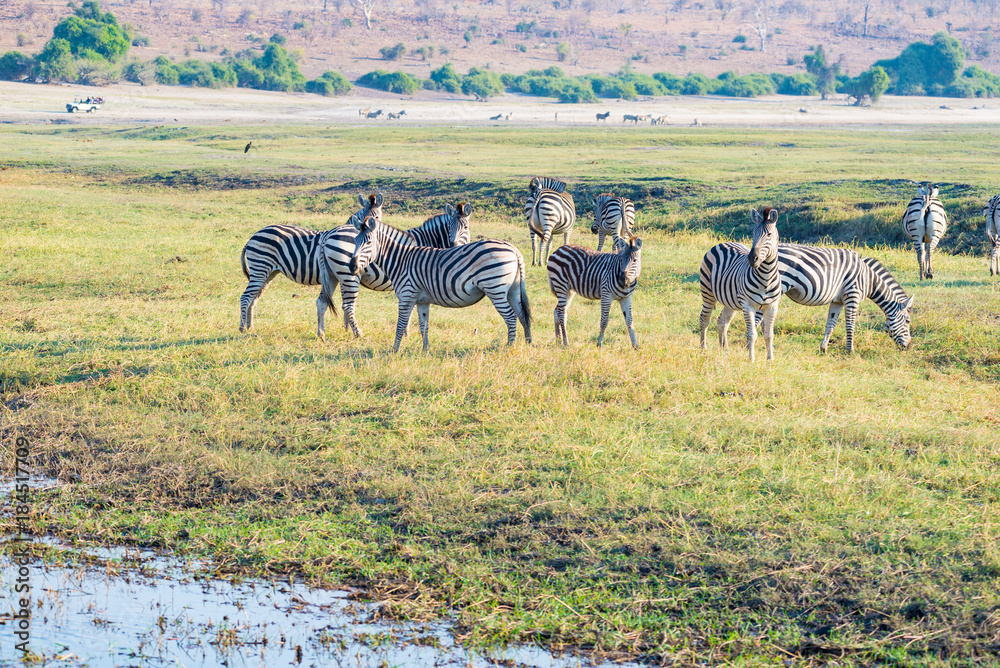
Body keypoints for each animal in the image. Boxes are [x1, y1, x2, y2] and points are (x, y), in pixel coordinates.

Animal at [239, 193, 383, 337]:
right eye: (365, 215)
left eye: (377, 217)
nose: (369, 227)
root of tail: (253, 236)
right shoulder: (345, 273)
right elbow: (347, 304)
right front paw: (349, 328)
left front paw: (347, 328)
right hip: (260, 267)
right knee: (245, 297)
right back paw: (242, 328)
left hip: (268, 273)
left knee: (253, 298)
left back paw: (250, 327)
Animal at [318, 202, 473, 338]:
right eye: (450, 227)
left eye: (465, 227)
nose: (454, 245)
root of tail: (328, 234)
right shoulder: (415, 282)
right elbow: (411, 310)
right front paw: (406, 333)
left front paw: (405, 332)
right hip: (348, 275)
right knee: (348, 306)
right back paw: (358, 334)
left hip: (332, 276)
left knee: (322, 302)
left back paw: (323, 334)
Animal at [345, 216, 531, 352]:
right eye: (355, 242)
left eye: (368, 243)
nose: (352, 267)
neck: (401, 260)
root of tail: (513, 249)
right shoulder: (422, 300)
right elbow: (423, 326)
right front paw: (425, 350)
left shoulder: (406, 296)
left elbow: (400, 325)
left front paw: (394, 351)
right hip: (512, 290)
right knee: (522, 314)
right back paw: (528, 343)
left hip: (495, 289)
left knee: (511, 317)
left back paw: (509, 347)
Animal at [699, 207, 782, 362]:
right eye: (753, 233)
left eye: (769, 234)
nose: (752, 258)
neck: (766, 277)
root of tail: (722, 243)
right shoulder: (748, 305)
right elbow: (752, 334)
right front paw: (751, 360)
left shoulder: (772, 306)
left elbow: (769, 335)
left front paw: (770, 360)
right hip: (707, 293)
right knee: (704, 320)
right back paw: (703, 348)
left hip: (729, 301)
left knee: (722, 321)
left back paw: (724, 349)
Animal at [760, 245, 914, 353]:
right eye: (907, 321)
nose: (909, 346)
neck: (868, 280)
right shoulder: (852, 296)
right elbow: (850, 325)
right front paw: (850, 351)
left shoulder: (837, 301)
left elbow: (831, 325)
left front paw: (823, 349)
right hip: (776, 287)